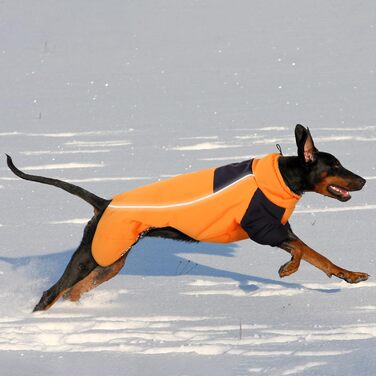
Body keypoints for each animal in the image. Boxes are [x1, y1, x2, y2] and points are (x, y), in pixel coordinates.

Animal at [5, 124, 368, 312]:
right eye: (335, 166)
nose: (364, 180)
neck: (283, 177)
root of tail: (104, 203)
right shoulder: (263, 228)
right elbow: (302, 251)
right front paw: (288, 269)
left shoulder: (279, 229)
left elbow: (319, 257)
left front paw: (349, 275)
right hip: (92, 256)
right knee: (51, 293)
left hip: (111, 261)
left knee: (72, 292)